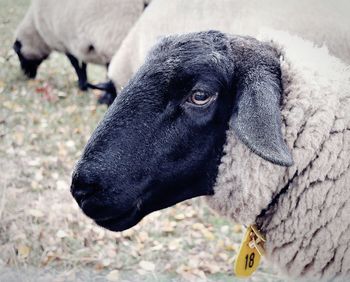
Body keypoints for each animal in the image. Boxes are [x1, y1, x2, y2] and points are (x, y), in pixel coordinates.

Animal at [13, 0, 148, 103]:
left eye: (19, 55)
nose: (26, 76)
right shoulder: (78, 44)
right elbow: (83, 64)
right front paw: (85, 84)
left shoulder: (65, 42)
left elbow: (76, 65)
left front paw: (82, 85)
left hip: (114, 35)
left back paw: (106, 97)